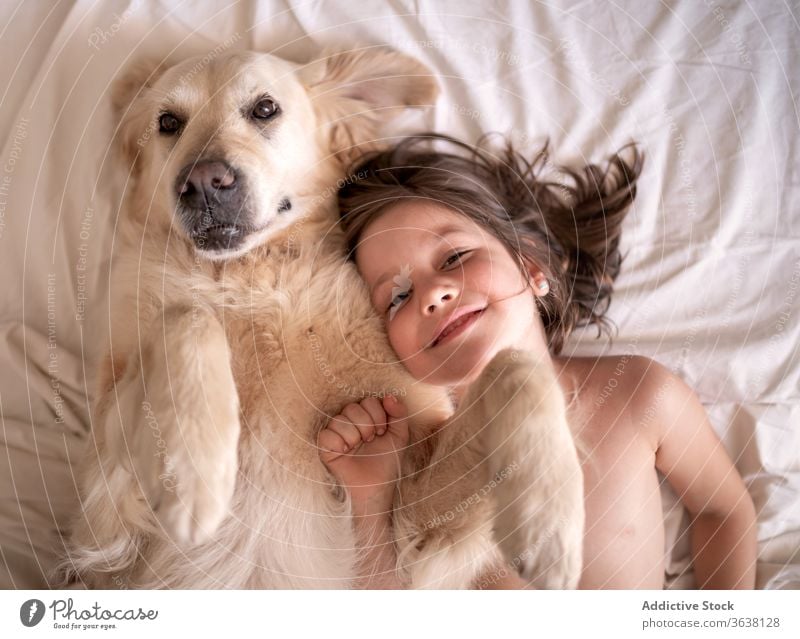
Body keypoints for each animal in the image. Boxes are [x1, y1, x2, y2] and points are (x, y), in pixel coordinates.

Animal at [56, 46, 580, 592]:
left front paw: (549, 519)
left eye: (265, 109)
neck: (252, 278)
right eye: (168, 122)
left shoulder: (417, 545)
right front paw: (197, 470)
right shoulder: (106, 508)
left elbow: (515, 366)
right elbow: (189, 315)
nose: (201, 184)